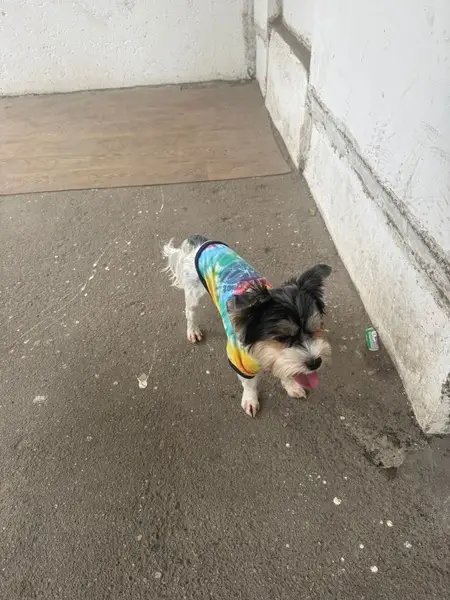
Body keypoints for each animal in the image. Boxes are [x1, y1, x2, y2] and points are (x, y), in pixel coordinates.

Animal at [163, 236, 331, 417]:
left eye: (314, 329)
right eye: (281, 338)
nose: (315, 363)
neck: (260, 348)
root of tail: (201, 241)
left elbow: (286, 368)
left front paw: (291, 384)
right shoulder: (240, 362)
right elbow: (249, 384)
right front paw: (250, 399)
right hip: (193, 294)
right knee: (189, 313)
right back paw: (192, 330)